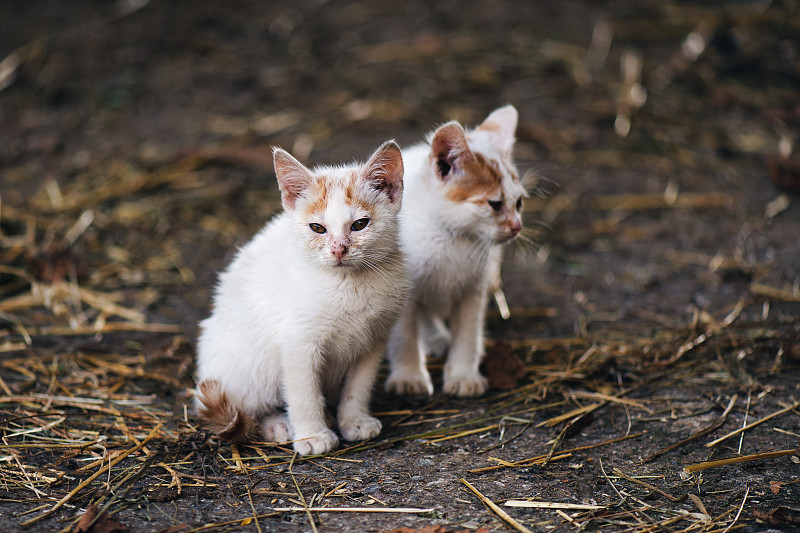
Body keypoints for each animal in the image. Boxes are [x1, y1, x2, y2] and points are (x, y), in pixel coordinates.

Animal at [193, 140, 406, 454]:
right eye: (317, 228)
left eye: (360, 224)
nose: (338, 249)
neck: (348, 283)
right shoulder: (298, 342)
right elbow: (303, 392)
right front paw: (312, 435)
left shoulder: (374, 339)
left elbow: (359, 385)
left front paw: (354, 420)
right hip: (245, 365)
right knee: (246, 406)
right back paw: (277, 424)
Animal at [386, 105, 524, 394]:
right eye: (495, 204)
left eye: (519, 203)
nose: (517, 226)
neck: (450, 239)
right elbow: (403, 335)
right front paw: (408, 377)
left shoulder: (474, 290)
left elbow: (468, 336)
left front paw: (463, 376)